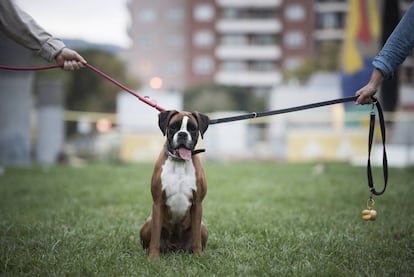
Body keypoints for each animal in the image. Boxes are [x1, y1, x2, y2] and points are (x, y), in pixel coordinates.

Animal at [140, 110, 210, 258]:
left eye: (192, 128)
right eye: (173, 126)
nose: (182, 134)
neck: (180, 162)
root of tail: (175, 247)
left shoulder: (197, 204)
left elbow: (196, 238)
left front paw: (198, 256)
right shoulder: (158, 202)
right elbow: (155, 236)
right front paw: (153, 257)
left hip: (203, 227)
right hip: (148, 222)